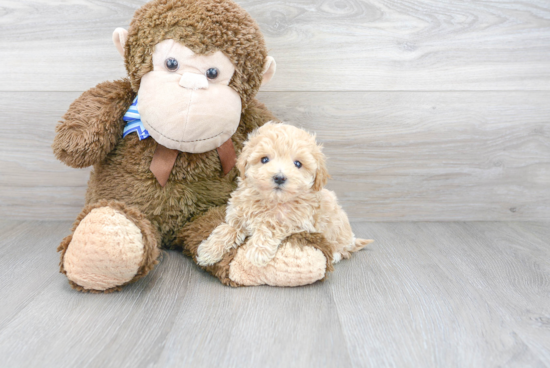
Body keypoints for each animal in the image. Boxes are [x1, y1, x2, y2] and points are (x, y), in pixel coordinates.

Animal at [196, 123, 374, 268]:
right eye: (264, 159)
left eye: (298, 164)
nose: (279, 177)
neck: (271, 200)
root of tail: (351, 238)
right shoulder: (238, 216)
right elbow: (226, 230)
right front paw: (208, 250)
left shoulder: (296, 220)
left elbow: (270, 225)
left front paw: (257, 252)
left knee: (343, 249)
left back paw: (336, 254)